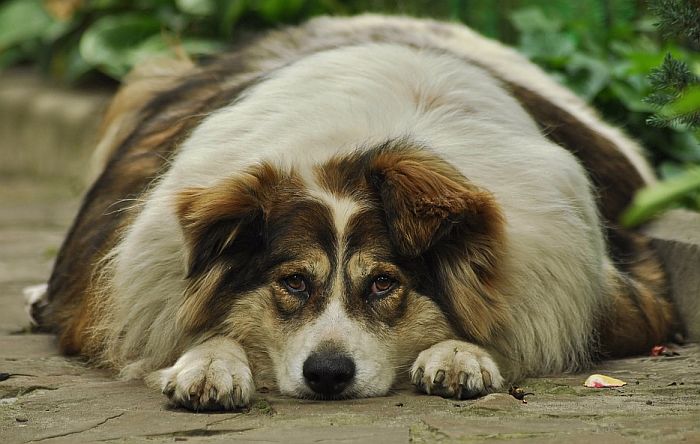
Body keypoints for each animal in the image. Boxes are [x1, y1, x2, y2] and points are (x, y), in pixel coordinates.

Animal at [30, 14, 680, 410]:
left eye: (384, 284)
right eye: (293, 282)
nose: (327, 376)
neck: (361, 148)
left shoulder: (620, 301)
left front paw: (461, 353)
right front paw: (210, 364)